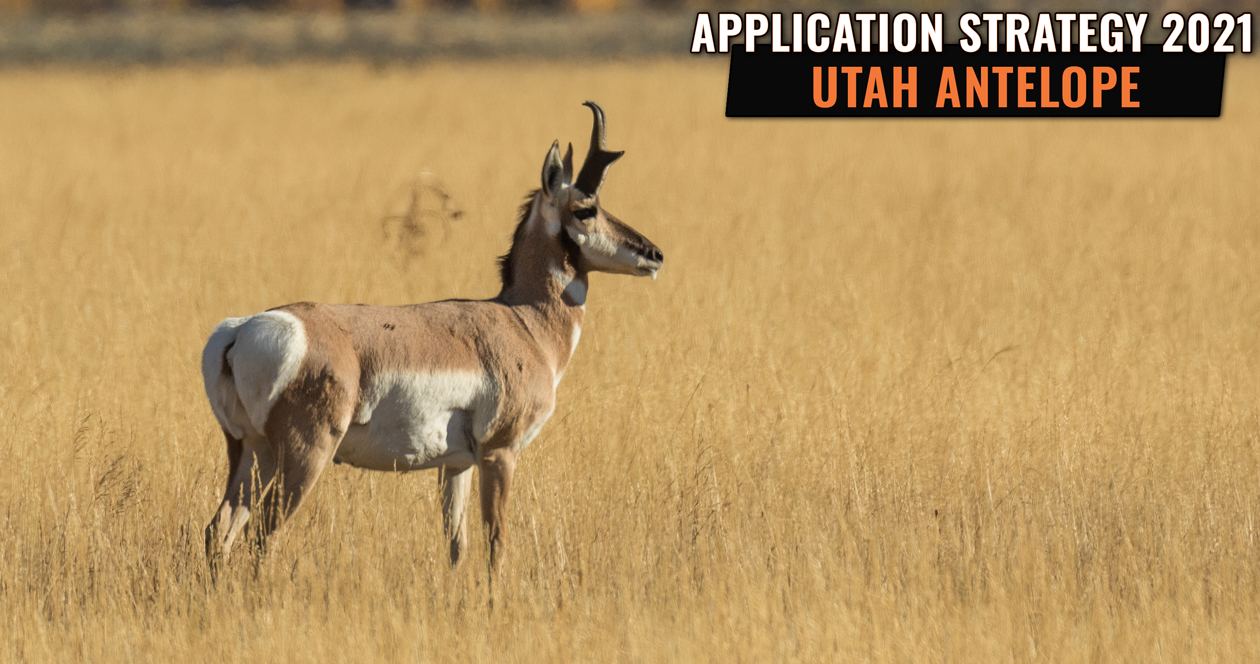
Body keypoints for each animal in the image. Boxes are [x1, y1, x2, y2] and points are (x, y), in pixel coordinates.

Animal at [201, 102, 662, 571]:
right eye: (586, 208)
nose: (654, 253)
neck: (521, 321)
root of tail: (241, 330)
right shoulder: (499, 453)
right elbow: (495, 540)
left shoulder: (455, 465)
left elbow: (456, 545)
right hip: (303, 456)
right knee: (262, 535)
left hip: (249, 452)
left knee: (219, 529)